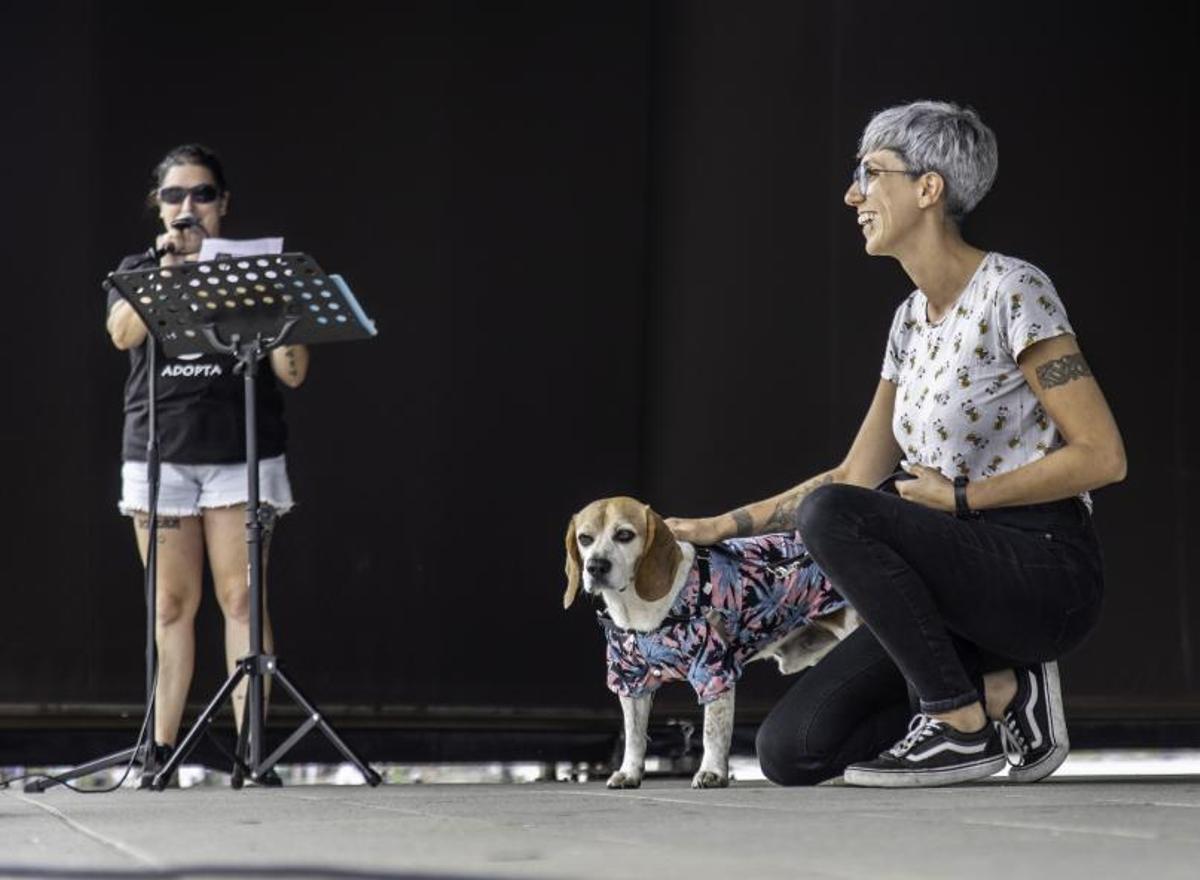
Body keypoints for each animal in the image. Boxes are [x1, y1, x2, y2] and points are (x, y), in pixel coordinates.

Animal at [561, 494, 854, 787]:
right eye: (585, 538)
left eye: (624, 535)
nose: (596, 566)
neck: (638, 608)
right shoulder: (629, 677)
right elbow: (634, 735)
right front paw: (629, 772)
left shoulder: (713, 670)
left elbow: (712, 731)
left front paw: (712, 772)